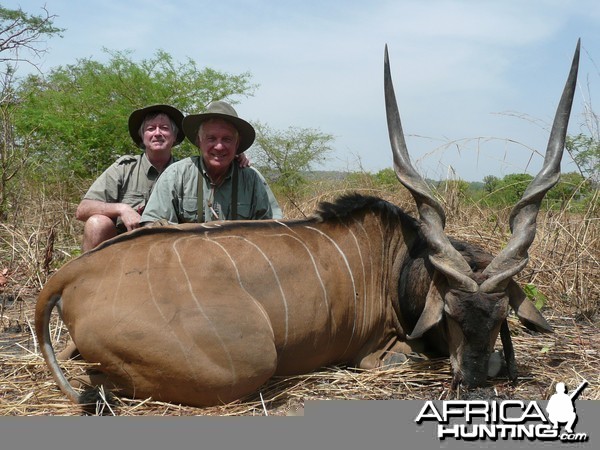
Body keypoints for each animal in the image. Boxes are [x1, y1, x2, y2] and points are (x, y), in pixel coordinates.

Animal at [35, 41, 580, 408]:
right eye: (447, 312)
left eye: (500, 315)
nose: (473, 383)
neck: (397, 261)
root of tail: (71, 273)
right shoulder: (383, 348)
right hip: (246, 360)